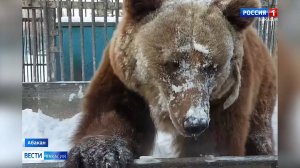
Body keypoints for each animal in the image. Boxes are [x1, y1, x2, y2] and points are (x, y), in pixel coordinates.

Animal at [65, 0, 276, 167]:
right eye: (173, 63)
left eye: (211, 67)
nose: (195, 123)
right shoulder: (125, 80)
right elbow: (113, 113)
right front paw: (97, 155)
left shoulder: (225, 97)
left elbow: (217, 139)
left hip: (263, 87)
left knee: (259, 130)